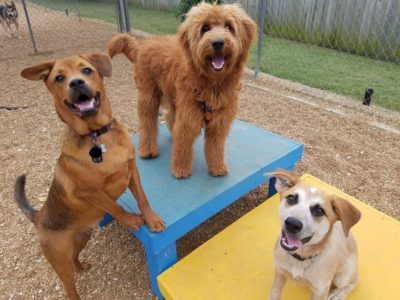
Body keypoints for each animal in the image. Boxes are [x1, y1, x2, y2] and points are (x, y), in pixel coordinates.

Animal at [15, 52, 165, 298]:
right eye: (59, 78)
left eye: (86, 70)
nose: (76, 83)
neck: (98, 135)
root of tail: (39, 216)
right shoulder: (91, 192)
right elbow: (115, 207)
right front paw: (132, 219)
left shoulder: (132, 170)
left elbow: (142, 198)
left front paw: (152, 219)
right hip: (60, 262)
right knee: (69, 287)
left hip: (82, 237)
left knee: (75, 259)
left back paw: (82, 265)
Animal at [106, 2, 256, 178]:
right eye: (205, 28)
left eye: (229, 26)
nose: (218, 43)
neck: (211, 83)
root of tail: (142, 46)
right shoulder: (188, 117)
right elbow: (183, 143)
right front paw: (181, 170)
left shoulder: (218, 121)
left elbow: (215, 147)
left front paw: (217, 167)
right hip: (149, 96)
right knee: (147, 123)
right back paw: (148, 150)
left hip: (173, 97)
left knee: (170, 118)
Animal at [266, 170, 362, 298]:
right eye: (291, 198)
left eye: (319, 211)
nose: (292, 224)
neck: (300, 258)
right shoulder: (279, 273)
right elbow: (274, 294)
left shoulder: (320, 291)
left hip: (342, 277)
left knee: (354, 281)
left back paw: (338, 294)